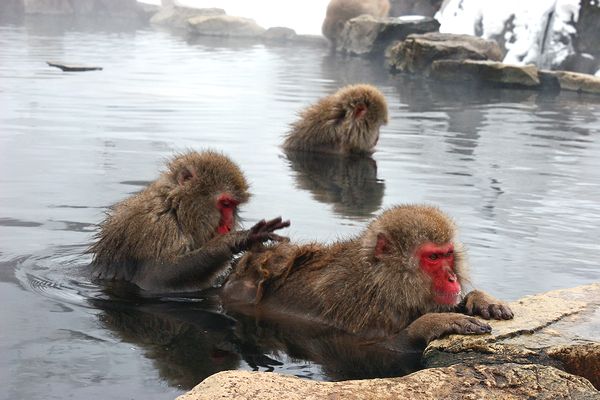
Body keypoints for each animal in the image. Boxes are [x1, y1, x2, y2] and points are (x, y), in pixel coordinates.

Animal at [89, 150, 292, 294]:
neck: (175, 210)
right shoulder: (156, 227)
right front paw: (237, 240)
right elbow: (154, 277)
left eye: (234, 207)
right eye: (225, 204)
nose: (228, 225)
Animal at [223, 205, 512, 346]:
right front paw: (432, 323)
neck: (380, 281)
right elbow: (371, 348)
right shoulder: (351, 300)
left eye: (448, 254)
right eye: (433, 258)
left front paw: (480, 299)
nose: (452, 278)